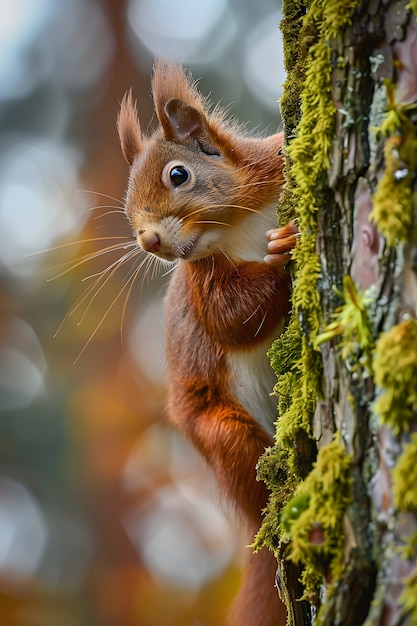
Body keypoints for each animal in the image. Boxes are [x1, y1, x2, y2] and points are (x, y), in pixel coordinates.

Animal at [116, 62, 296, 624]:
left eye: (179, 174)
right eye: (127, 202)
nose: (148, 240)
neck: (239, 221)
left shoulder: (272, 166)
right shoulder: (204, 283)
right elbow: (230, 318)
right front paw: (283, 257)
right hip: (223, 435)